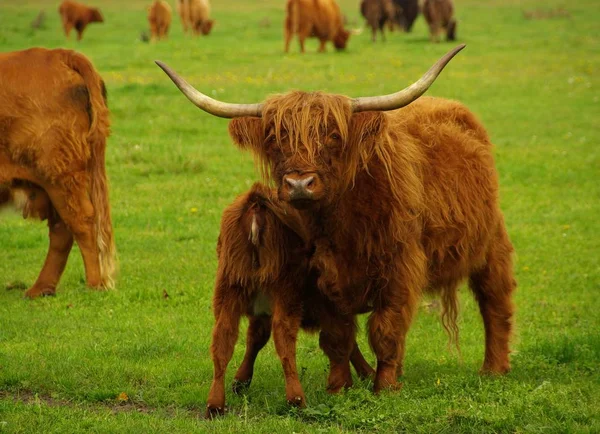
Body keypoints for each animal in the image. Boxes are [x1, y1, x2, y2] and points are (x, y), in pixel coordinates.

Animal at [0, 47, 116, 298]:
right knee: (62, 228)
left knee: (80, 222)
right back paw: (40, 289)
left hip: (59, 176)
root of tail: (57, 54)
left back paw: (94, 284)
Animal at [158, 45, 516, 408]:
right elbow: (338, 335)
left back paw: (494, 368)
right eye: (275, 137)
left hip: (492, 242)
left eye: (332, 136)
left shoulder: (399, 267)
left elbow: (386, 329)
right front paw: (339, 386)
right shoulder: (320, 275)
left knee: (495, 301)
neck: (344, 222)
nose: (299, 184)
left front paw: (384, 386)